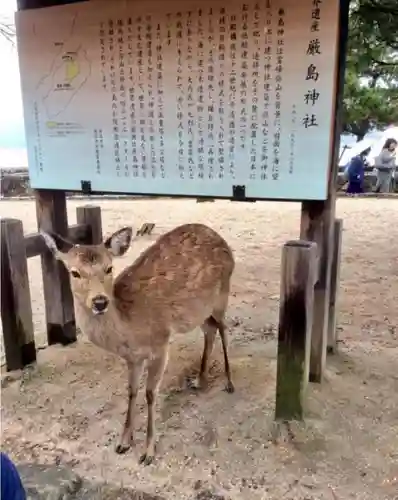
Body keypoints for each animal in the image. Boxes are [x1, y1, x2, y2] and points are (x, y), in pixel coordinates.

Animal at [41, 223, 236, 464]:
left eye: (109, 268)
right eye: (74, 272)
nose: (100, 302)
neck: (131, 329)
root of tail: (220, 238)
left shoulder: (161, 343)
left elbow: (150, 394)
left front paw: (148, 452)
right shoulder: (132, 357)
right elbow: (132, 390)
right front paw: (123, 442)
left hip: (222, 295)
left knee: (223, 328)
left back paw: (229, 383)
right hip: (200, 310)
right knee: (210, 330)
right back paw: (200, 381)